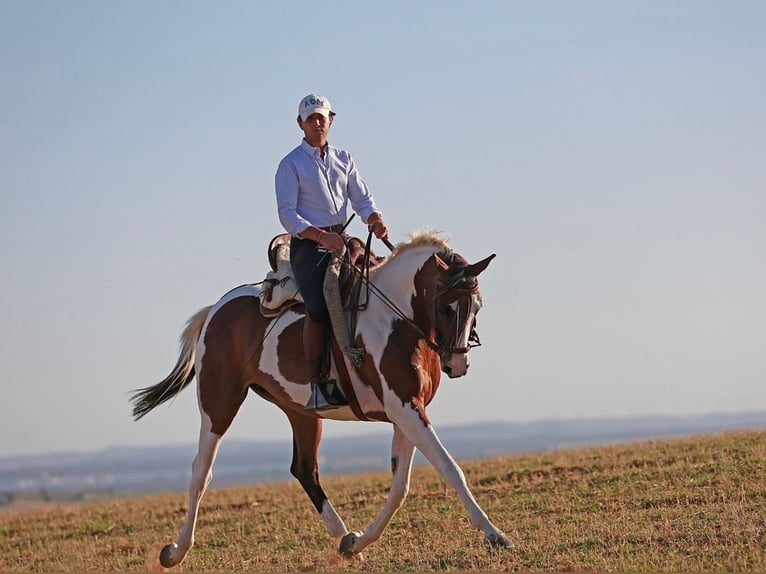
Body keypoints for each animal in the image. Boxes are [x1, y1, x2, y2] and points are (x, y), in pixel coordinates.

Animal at [132, 232, 512, 568]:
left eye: (477, 306)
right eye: (447, 308)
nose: (458, 364)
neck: (396, 318)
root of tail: (217, 308)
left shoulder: (406, 410)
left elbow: (399, 487)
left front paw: (358, 541)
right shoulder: (405, 409)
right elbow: (449, 469)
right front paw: (494, 535)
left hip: (301, 413)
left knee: (304, 469)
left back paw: (345, 541)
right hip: (219, 402)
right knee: (201, 471)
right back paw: (176, 551)